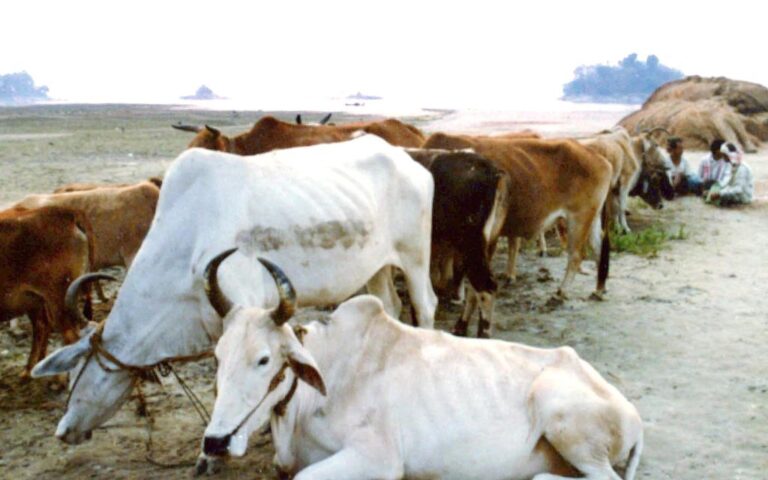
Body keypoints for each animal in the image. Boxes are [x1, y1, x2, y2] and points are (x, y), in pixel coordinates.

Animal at [0, 206, 95, 378]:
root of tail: (68, 212)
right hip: (37, 301)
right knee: (43, 327)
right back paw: (32, 371)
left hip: (58, 300)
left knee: (70, 336)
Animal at [31, 135, 437, 447]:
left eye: (76, 371)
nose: (64, 431)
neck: (187, 240)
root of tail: (405, 159)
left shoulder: (249, 311)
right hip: (378, 267)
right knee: (390, 306)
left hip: (415, 257)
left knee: (425, 305)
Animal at [197, 257, 644, 479]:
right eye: (218, 357)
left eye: (264, 359)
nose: (215, 442)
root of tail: (631, 414)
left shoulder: (379, 459)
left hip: (564, 420)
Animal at [406, 149, 510, 337]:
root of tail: (492, 172)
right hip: (487, 245)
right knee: (475, 289)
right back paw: (461, 325)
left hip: (471, 244)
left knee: (486, 288)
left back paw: (482, 334)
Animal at [422, 133, 613, 306]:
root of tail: (598, 157)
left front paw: (456, 295)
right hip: (592, 218)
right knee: (599, 250)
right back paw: (599, 290)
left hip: (578, 218)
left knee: (576, 255)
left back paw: (560, 293)